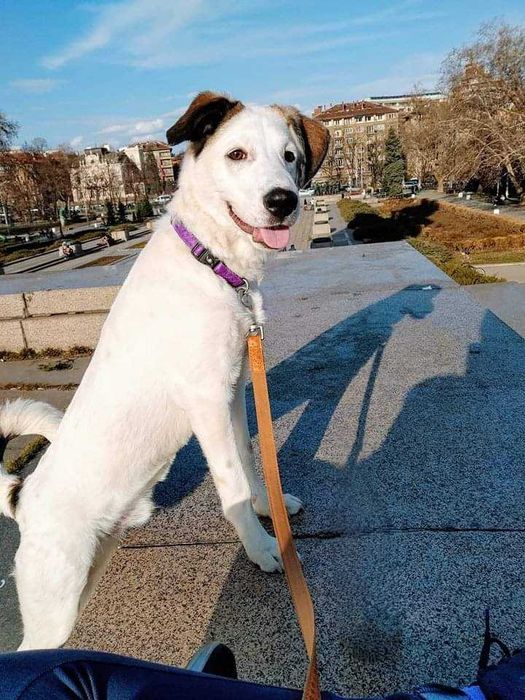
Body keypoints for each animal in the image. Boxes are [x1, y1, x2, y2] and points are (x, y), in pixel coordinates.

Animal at [0, 92, 330, 651]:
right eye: (236, 154)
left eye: (290, 157)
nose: (284, 201)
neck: (209, 262)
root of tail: (23, 499)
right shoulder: (205, 402)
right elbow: (231, 484)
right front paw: (263, 548)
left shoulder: (232, 392)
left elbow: (249, 459)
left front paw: (268, 509)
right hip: (56, 600)